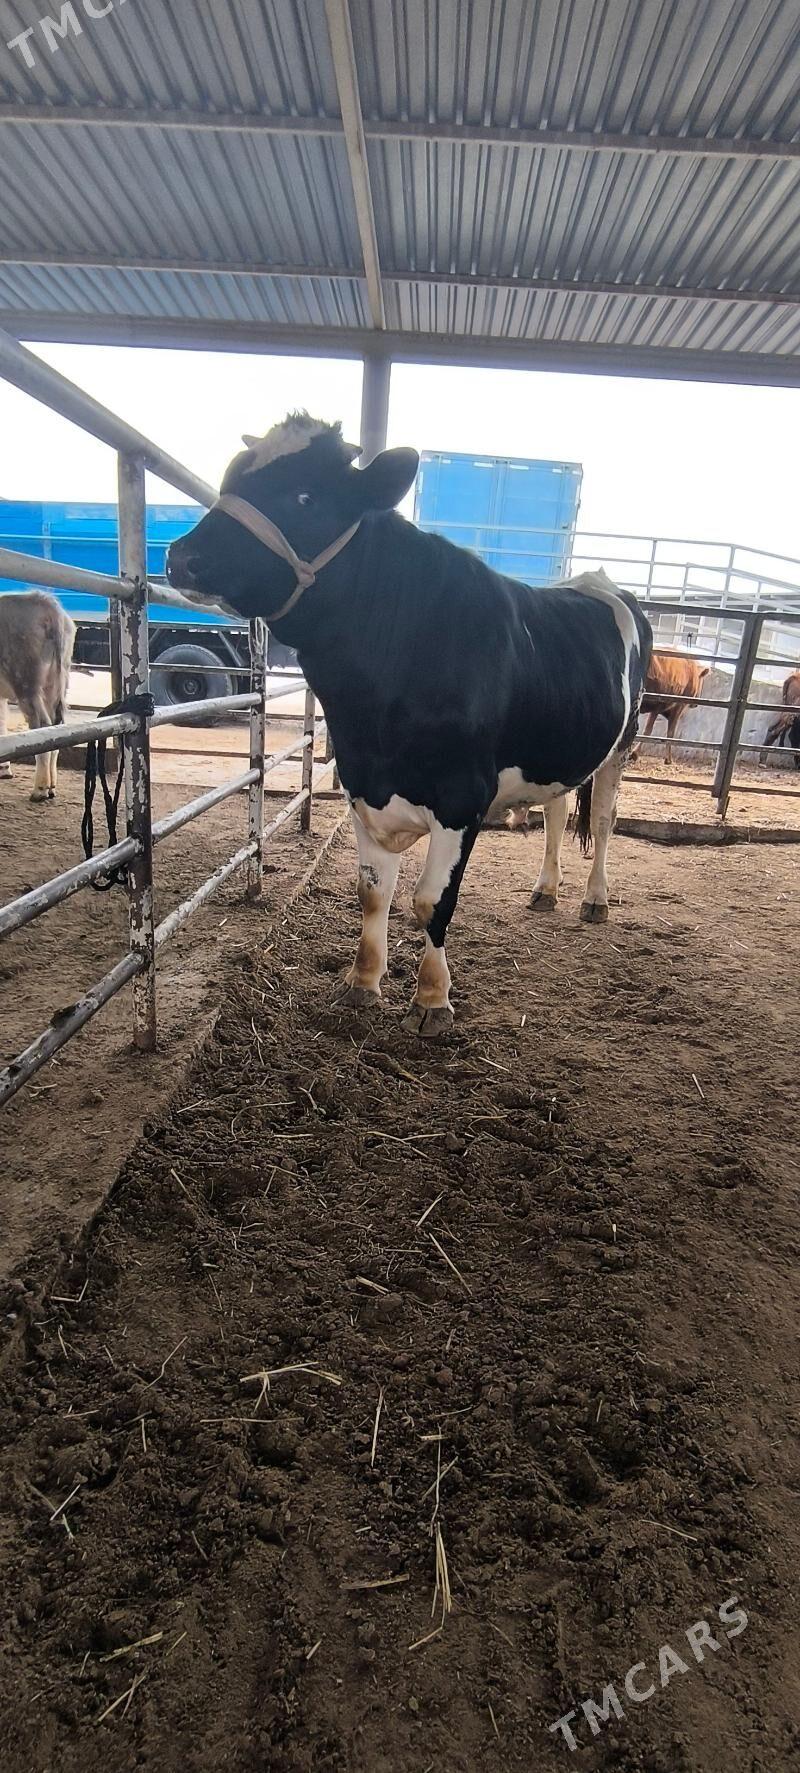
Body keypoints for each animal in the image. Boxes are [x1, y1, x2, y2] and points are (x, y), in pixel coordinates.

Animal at [0, 590, 75, 801]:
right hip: (57, 681)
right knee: (58, 726)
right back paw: (51, 787)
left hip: (26, 681)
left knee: (42, 725)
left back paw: (39, 790)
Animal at [166, 414, 652, 1037]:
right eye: (231, 479)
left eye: (305, 496)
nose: (183, 556)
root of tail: (597, 581)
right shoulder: (362, 784)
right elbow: (374, 894)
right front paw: (362, 983)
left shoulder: (463, 795)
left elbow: (429, 902)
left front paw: (432, 999)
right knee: (558, 810)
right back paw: (545, 890)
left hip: (623, 743)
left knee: (608, 818)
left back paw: (595, 899)